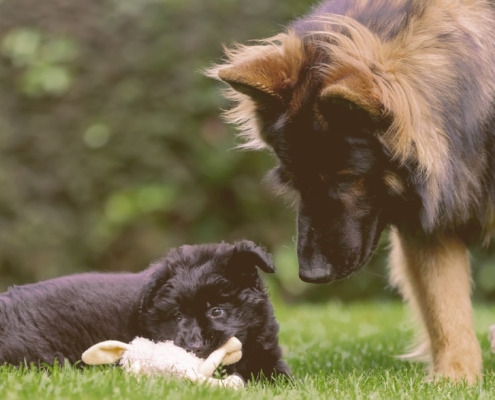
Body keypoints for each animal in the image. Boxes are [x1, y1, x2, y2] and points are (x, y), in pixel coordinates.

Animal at [208, 0, 495, 382]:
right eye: (295, 181)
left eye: (344, 179)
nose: (311, 275)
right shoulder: (429, 223)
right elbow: (446, 310)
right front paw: (455, 379)